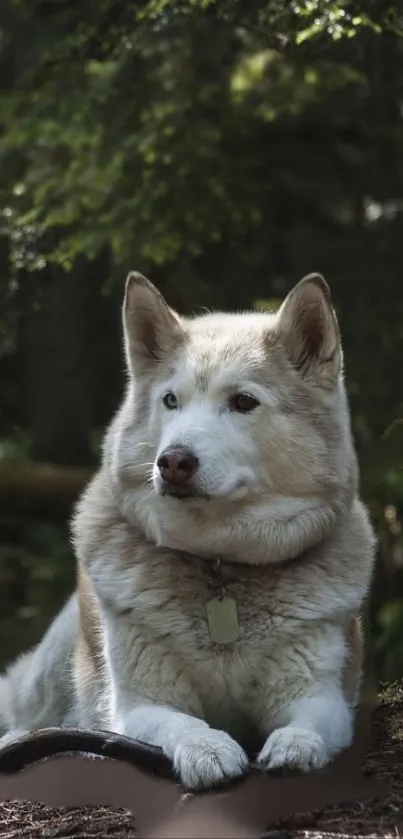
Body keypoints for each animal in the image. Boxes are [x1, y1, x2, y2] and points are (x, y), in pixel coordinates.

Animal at [0, 272, 376, 792]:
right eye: (171, 401)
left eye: (243, 402)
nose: (173, 461)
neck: (220, 565)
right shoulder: (140, 705)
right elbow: (183, 723)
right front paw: (208, 750)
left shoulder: (321, 695)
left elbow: (307, 723)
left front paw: (294, 746)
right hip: (55, 665)